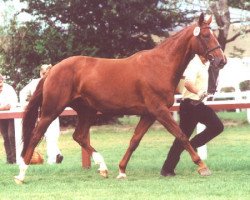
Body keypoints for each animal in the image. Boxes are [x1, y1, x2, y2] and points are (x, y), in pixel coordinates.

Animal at [15, 13, 227, 184]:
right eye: (206, 35)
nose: (222, 61)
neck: (160, 65)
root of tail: (52, 71)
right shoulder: (159, 111)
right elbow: (181, 135)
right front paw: (202, 167)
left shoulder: (149, 114)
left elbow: (134, 141)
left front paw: (122, 170)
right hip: (51, 110)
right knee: (35, 136)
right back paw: (21, 174)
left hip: (87, 111)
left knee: (80, 136)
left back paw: (103, 168)